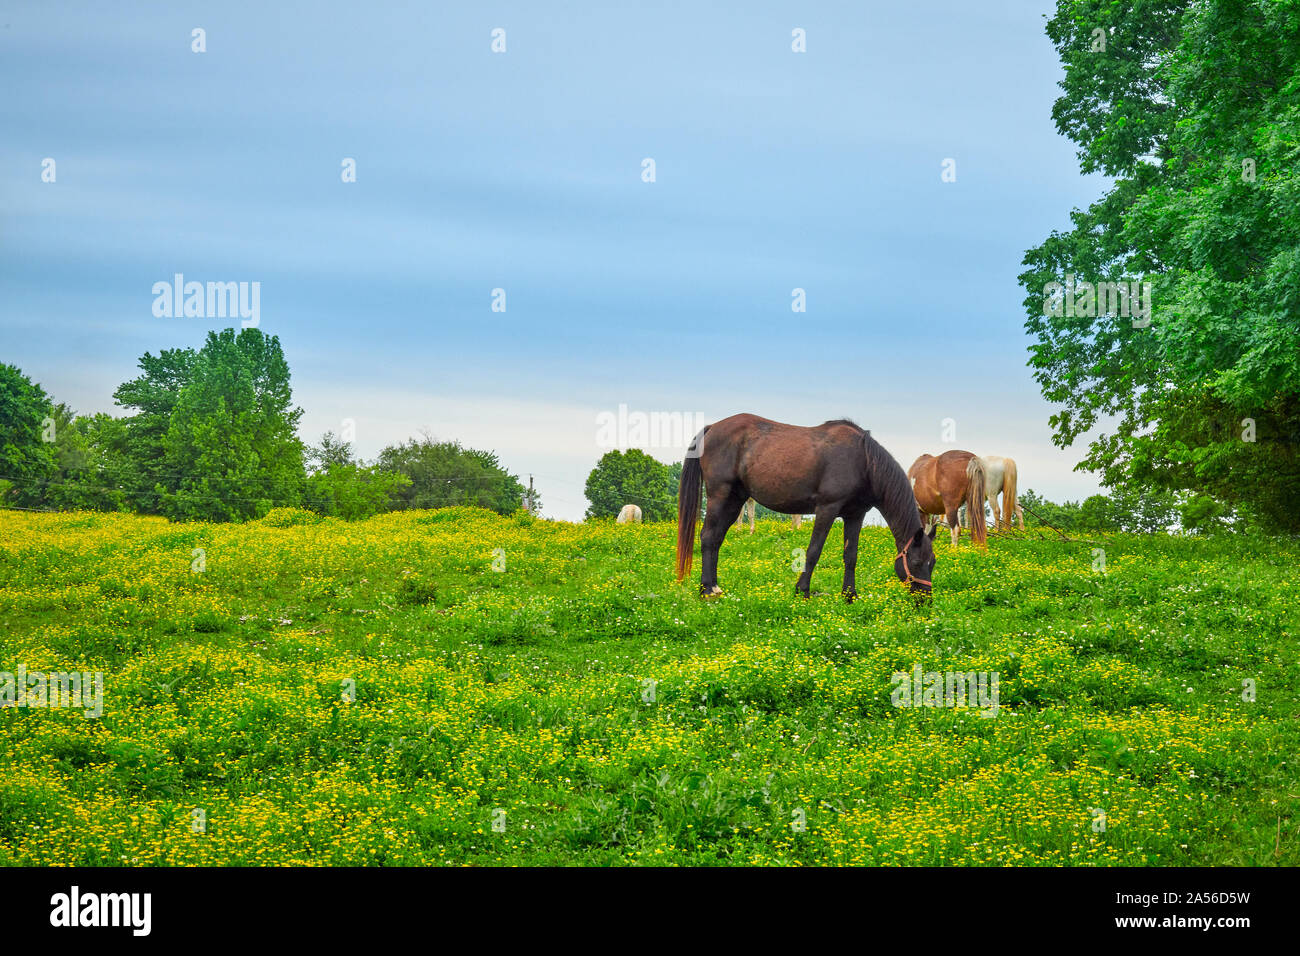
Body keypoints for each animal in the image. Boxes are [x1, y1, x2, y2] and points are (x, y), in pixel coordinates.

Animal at [675, 414, 937, 600]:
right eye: (915, 563)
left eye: (932, 562)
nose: (925, 600)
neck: (863, 460)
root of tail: (712, 428)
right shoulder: (827, 509)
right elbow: (813, 551)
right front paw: (802, 590)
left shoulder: (855, 515)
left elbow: (850, 556)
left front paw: (849, 595)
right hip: (720, 496)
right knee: (708, 536)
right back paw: (706, 590)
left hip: (734, 500)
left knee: (716, 539)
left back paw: (714, 585)